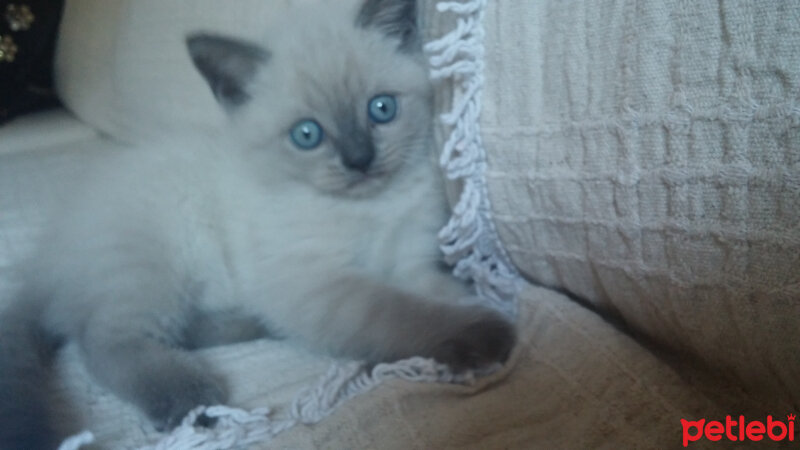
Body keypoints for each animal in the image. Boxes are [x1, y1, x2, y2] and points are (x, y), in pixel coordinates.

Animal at [0, 1, 512, 448]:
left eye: (381, 109)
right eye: (307, 135)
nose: (360, 160)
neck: (370, 208)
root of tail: (46, 255)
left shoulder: (406, 261)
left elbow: (435, 294)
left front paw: (485, 307)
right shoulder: (315, 282)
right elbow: (397, 311)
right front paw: (486, 334)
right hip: (152, 264)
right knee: (102, 340)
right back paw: (190, 398)